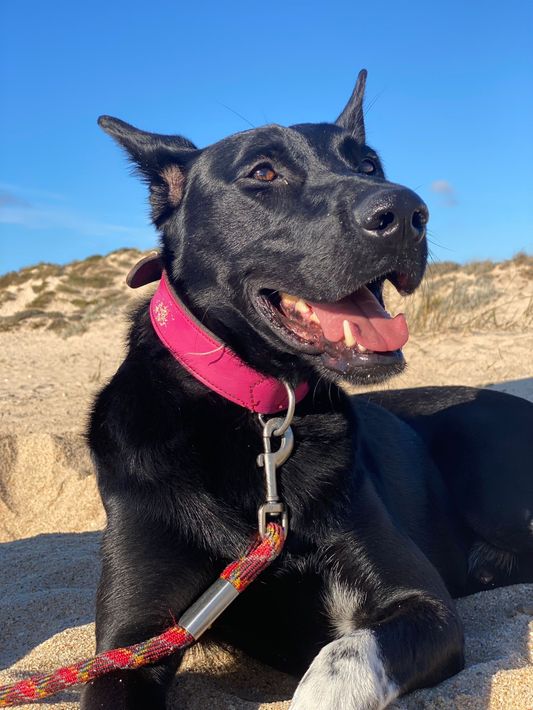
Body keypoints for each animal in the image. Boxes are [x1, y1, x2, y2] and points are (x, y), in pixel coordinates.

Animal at [81, 70, 533, 709]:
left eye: (369, 164)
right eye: (263, 172)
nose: (407, 211)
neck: (258, 418)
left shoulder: (421, 604)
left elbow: (337, 664)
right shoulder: (130, 646)